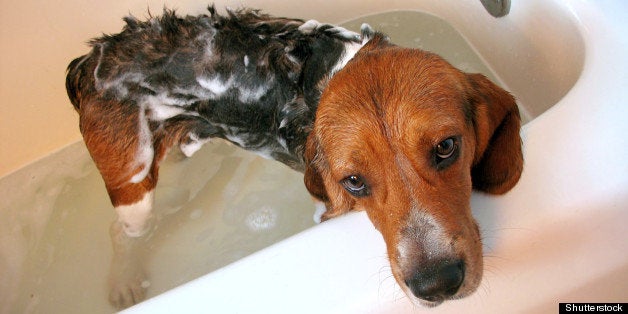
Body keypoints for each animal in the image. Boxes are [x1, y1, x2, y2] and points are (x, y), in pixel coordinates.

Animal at [66, 4, 524, 310]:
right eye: (353, 182)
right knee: (121, 231)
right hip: (132, 182)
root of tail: (88, 60)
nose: (436, 284)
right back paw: (124, 282)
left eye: (446, 147)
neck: (337, 70)